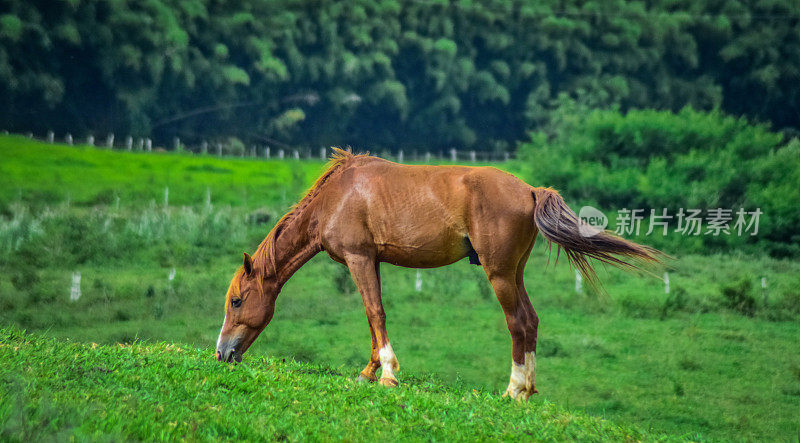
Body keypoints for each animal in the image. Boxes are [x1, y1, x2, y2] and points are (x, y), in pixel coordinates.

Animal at [216, 148, 660, 398]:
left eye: (237, 301)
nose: (221, 353)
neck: (336, 197)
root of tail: (532, 190)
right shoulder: (371, 261)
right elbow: (372, 317)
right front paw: (369, 372)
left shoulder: (359, 258)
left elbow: (375, 313)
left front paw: (387, 375)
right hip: (515, 273)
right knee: (531, 321)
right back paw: (528, 389)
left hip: (500, 275)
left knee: (517, 323)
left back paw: (513, 391)